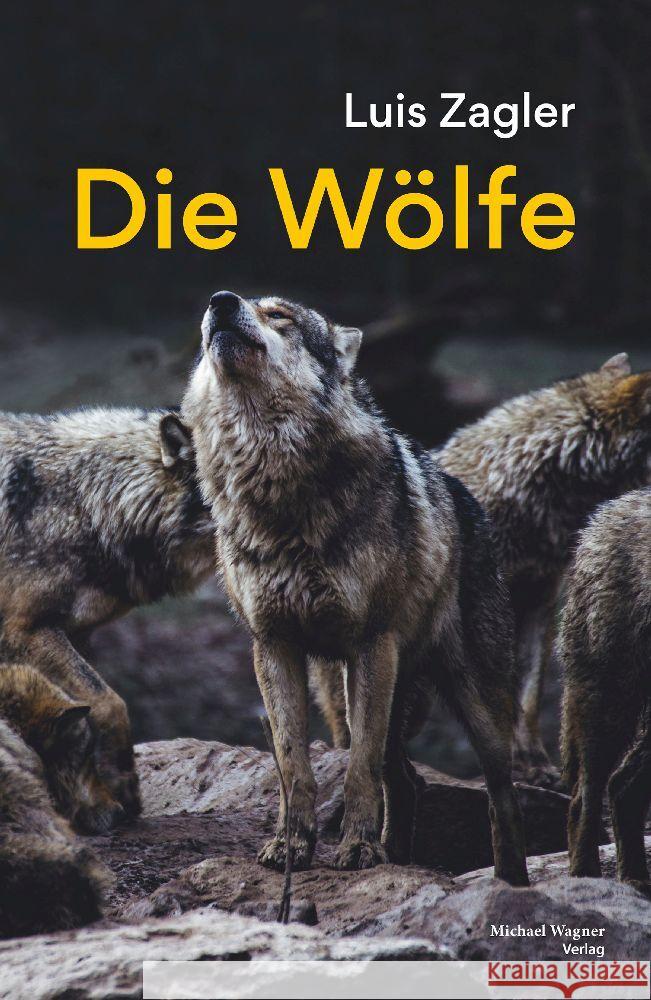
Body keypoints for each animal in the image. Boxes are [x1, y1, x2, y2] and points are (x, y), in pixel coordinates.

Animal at [0, 407, 214, 822]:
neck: (89, 503)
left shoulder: (77, 632)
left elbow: (84, 711)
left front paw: (99, 797)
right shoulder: (26, 629)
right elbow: (110, 703)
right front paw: (121, 788)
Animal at [182, 289, 529, 885]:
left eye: (280, 316)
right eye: (218, 312)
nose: (220, 301)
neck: (276, 487)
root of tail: (467, 497)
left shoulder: (370, 643)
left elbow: (358, 769)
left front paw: (359, 851)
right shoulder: (273, 645)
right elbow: (293, 764)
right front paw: (291, 847)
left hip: (471, 701)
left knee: (500, 797)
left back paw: (511, 883)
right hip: (355, 689)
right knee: (408, 781)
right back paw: (400, 857)